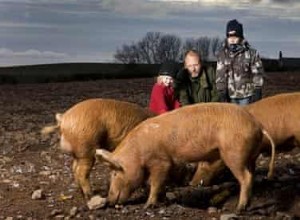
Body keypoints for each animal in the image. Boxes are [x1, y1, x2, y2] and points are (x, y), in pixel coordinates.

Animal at [95, 102, 274, 212]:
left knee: (246, 177)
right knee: (252, 174)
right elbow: (159, 183)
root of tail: (258, 125)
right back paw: (247, 204)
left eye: (115, 173)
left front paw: (148, 205)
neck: (138, 152)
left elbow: (155, 182)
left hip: (234, 153)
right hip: (250, 156)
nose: (109, 200)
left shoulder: (160, 161)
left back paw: (239, 208)